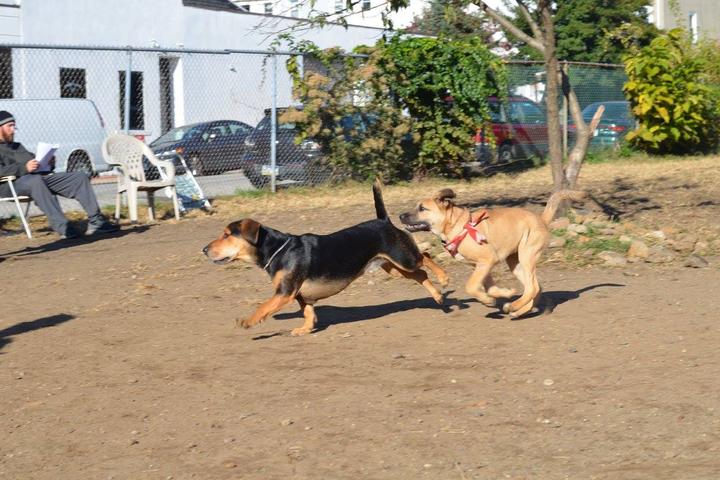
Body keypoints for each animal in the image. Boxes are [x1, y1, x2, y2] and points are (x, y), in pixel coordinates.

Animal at [204, 178, 450, 336]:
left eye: (226, 235)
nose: (204, 249)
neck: (278, 250)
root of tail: (384, 221)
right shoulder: (299, 294)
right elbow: (308, 312)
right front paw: (305, 329)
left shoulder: (284, 292)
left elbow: (263, 306)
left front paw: (247, 321)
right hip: (393, 267)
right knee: (420, 274)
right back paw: (438, 297)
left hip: (403, 258)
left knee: (425, 257)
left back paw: (444, 278)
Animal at [400, 188, 584, 318]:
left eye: (422, 208)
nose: (400, 216)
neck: (457, 225)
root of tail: (542, 219)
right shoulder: (481, 266)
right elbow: (490, 288)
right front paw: (503, 294)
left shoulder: (487, 260)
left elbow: (471, 286)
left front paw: (488, 300)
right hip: (514, 262)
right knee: (535, 287)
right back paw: (518, 311)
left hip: (526, 255)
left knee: (533, 287)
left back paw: (513, 306)